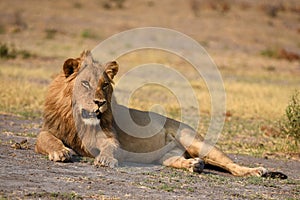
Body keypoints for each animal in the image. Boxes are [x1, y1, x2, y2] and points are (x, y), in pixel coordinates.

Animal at [35, 50, 286, 178]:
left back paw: (255, 170)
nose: (100, 103)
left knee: (232, 166)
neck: (74, 116)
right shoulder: (49, 129)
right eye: (85, 83)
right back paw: (193, 165)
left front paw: (105, 159)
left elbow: (110, 147)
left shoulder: (109, 137)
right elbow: (46, 139)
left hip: (196, 141)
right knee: (175, 160)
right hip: (167, 155)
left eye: (104, 85)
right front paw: (60, 152)